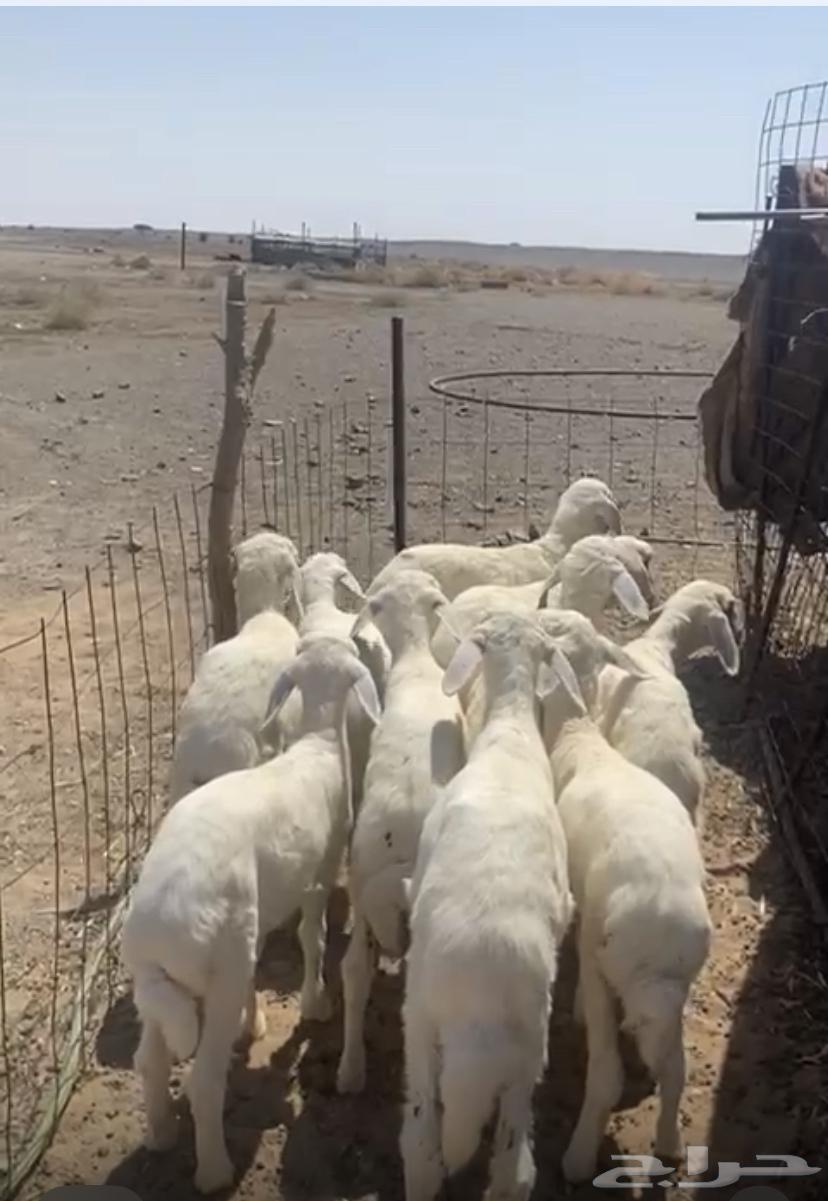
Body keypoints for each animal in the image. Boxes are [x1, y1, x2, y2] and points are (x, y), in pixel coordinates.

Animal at [122, 635, 381, 1195]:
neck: (317, 745)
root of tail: (158, 933)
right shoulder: (321, 870)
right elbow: (313, 937)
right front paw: (315, 1003)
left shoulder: (254, 920)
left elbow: (261, 962)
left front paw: (254, 1023)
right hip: (216, 969)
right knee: (203, 1080)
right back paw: (214, 1170)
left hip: (168, 979)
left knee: (149, 1061)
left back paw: (161, 1135)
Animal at [534, 607, 712, 1184]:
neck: (579, 738)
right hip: (674, 986)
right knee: (676, 1070)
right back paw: (671, 1145)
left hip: (603, 958)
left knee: (607, 1076)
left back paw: (576, 1157)